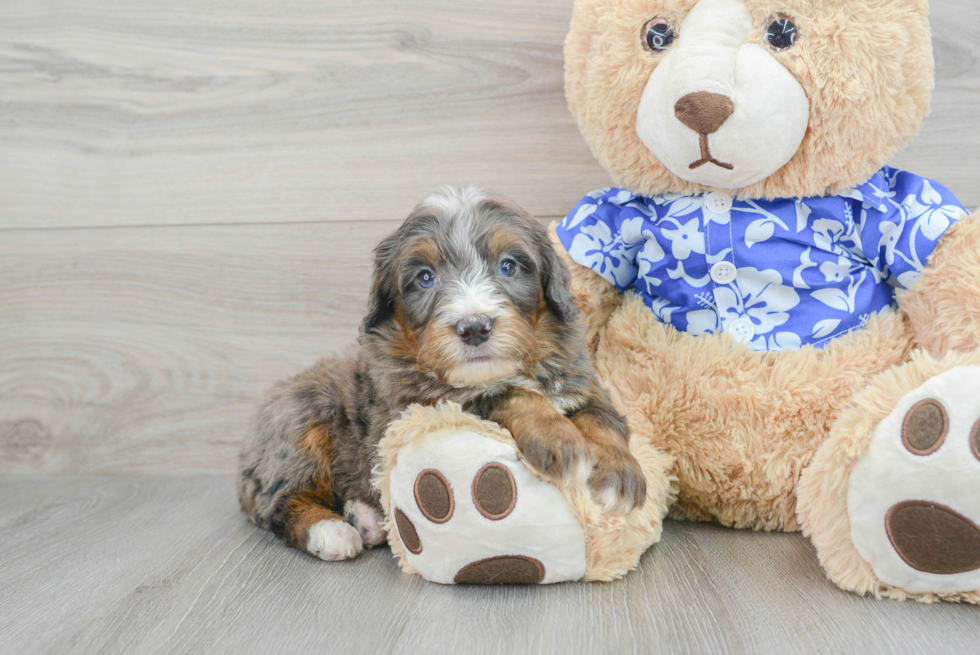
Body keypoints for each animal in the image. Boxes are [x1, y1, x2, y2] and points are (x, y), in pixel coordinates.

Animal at [239, 187, 644, 560]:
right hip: (303, 422)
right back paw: (331, 531)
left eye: (508, 266)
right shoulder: (416, 403)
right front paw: (560, 439)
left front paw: (620, 477)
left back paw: (366, 518)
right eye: (425, 278)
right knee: (277, 499)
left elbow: (602, 421)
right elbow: (506, 393)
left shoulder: (583, 383)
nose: (474, 327)